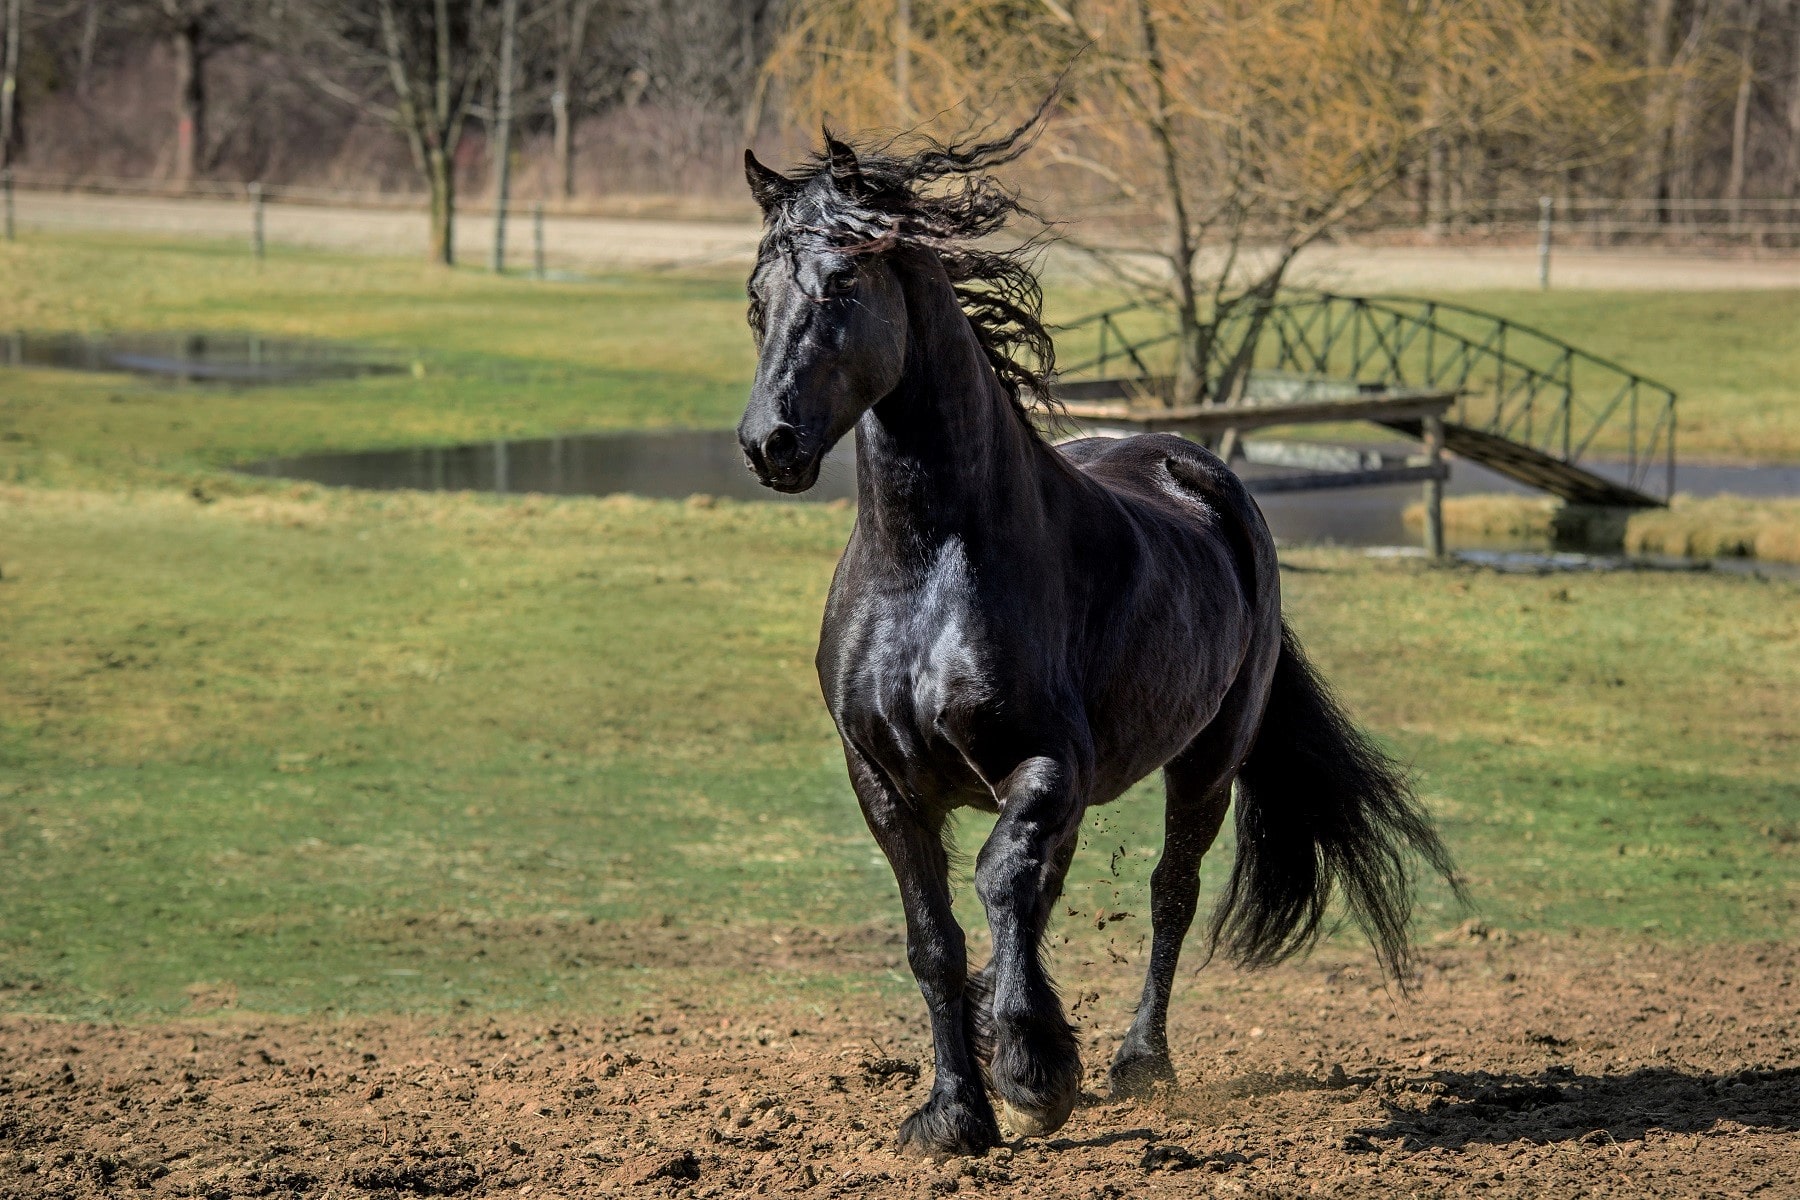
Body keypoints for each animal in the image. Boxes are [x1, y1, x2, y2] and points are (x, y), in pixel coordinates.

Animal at [738, 124, 1454, 1165]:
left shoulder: (1046, 764)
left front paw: (1036, 1076)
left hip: (1206, 762)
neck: (927, 570)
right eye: (757, 298)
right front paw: (956, 1110)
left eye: (839, 286)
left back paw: (1134, 1061)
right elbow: (935, 937)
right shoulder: (884, 782)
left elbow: (1001, 884)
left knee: (1168, 893)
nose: (770, 444)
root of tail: (1199, 470)